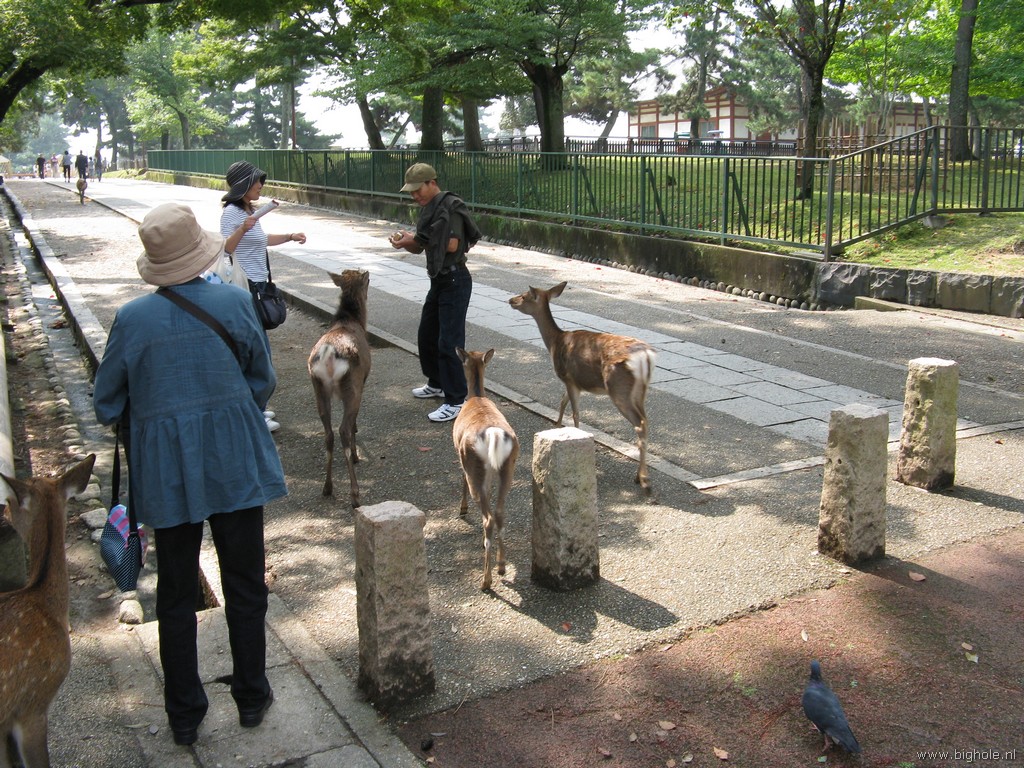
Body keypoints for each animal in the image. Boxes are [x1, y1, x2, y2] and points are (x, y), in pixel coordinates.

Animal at [308, 270, 371, 508]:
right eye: (367, 281)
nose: (367, 274)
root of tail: (328, 353)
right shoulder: (363, 381)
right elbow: (353, 423)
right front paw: (356, 454)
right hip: (351, 386)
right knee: (343, 429)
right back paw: (355, 494)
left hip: (318, 387)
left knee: (328, 433)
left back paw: (327, 487)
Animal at [452, 348, 520, 591]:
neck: (476, 396)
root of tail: (493, 434)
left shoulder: (460, 454)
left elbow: (461, 478)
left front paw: (462, 509)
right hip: (508, 467)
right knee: (499, 512)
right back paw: (501, 566)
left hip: (475, 465)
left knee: (488, 518)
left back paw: (486, 580)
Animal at [508, 281, 656, 492]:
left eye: (524, 296)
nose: (510, 300)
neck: (554, 342)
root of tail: (646, 357)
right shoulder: (571, 381)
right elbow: (562, 402)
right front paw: (556, 427)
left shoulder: (568, 378)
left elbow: (576, 413)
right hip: (640, 391)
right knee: (646, 420)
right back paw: (641, 475)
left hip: (619, 388)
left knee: (640, 423)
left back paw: (642, 479)